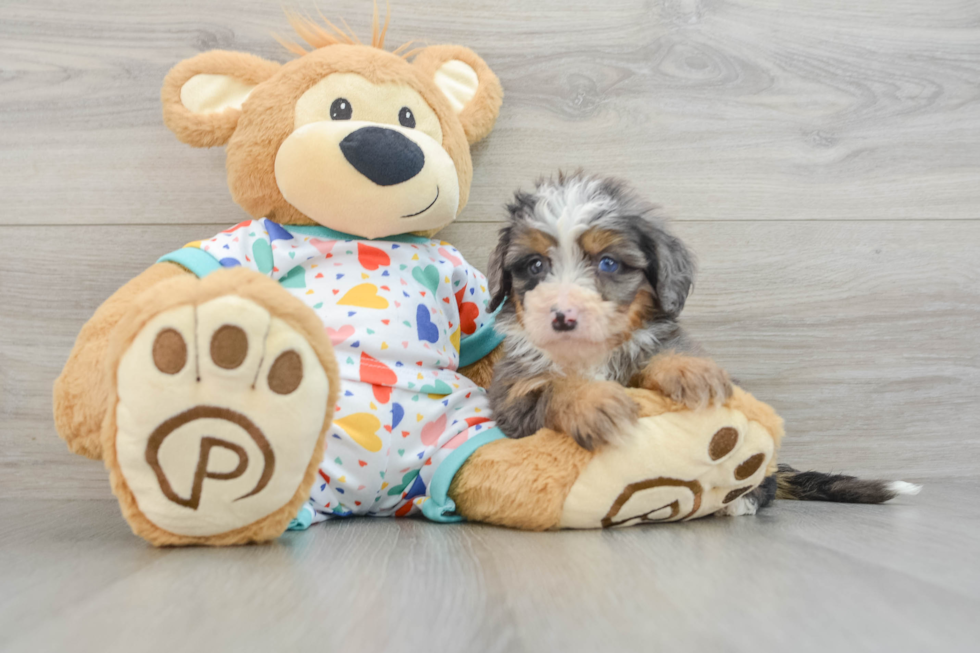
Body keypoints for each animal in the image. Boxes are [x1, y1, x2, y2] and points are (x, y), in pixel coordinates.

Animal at [488, 171, 728, 450]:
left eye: (608, 263)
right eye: (535, 265)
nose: (563, 318)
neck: (590, 356)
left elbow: (652, 354)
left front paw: (687, 367)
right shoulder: (512, 395)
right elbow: (552, 386)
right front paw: (590, 399)